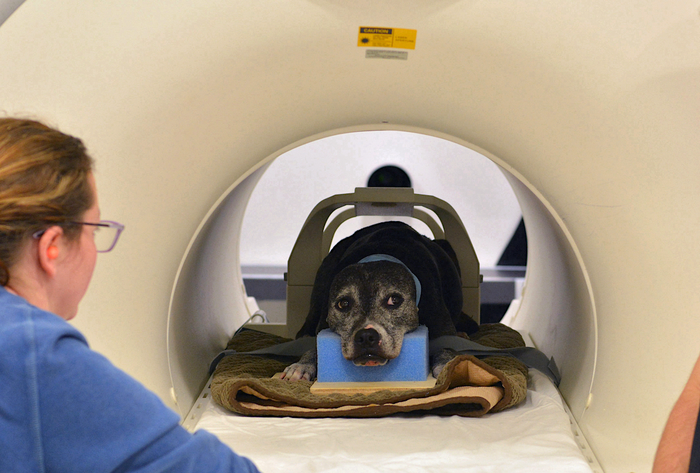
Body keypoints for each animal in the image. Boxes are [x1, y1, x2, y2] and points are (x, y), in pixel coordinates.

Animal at [282, 220, 478, 380]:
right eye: (343, 304)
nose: (366, 336)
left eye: (394, 300)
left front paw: (447, 364)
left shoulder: (442, 326)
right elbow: (314, 347)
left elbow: (445, 347)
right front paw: (303, 365)